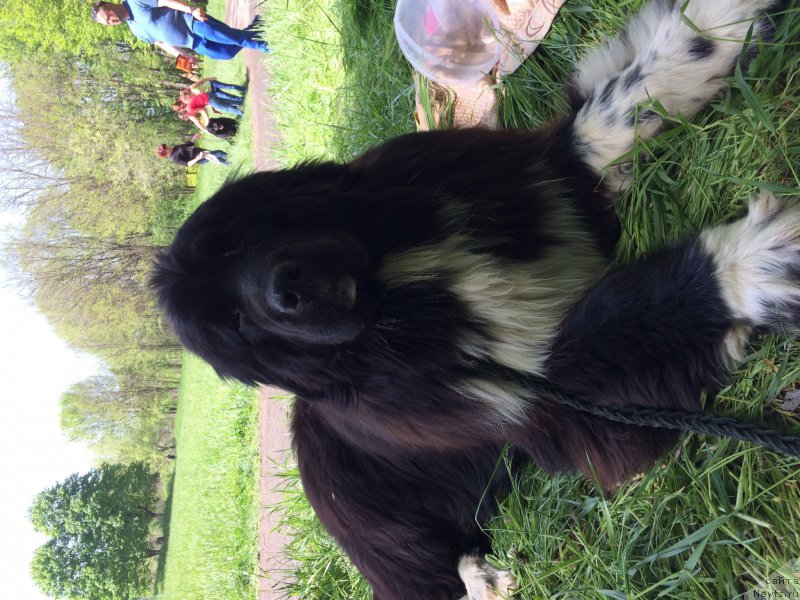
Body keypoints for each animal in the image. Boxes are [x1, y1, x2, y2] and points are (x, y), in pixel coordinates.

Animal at [150, 2, 792, 596]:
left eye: (237, 241)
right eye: (236, 323)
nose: (287, 290)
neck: (414, 292)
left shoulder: (537, 184)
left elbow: (610, 110)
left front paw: (713, 27)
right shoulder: (554, 406)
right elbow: (631, 312)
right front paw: (757, 260)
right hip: (374, 525)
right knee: (434, 570)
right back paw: (485, 578)